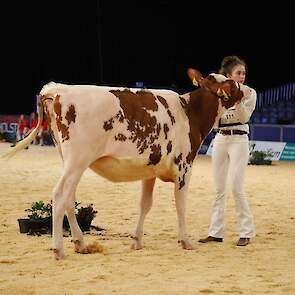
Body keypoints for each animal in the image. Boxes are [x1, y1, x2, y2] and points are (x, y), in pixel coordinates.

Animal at [1, 69, 252, 260]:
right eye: (232, 85)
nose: (249, 90)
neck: (189, 111)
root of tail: (58, 89)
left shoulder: (150, 169)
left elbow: (145, 205)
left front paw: (137, 240)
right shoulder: (184, 167)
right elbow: (181, 205)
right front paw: (186, 241)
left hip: (71, 161)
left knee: (69, 199)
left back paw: (81, 244)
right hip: (76, 160)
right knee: (60, 195)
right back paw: (59, 249)